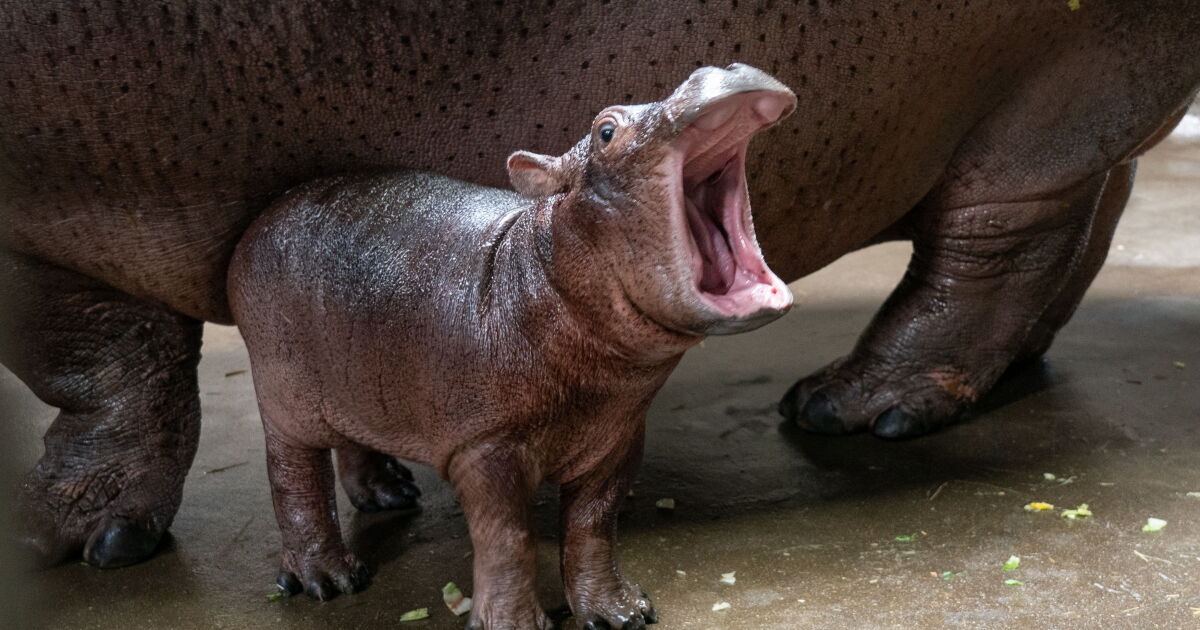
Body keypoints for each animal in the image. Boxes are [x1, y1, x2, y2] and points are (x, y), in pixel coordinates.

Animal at [2, 1, 1198, 570]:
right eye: (610, 125)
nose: (718, 60)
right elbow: (129, 363)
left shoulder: (46, 225)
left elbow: (101, 367)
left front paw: (82, 540)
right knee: (1091, 210)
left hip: (1047, 95)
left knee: (1000, 244)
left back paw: (852, 407)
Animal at [227, 65, 795, 628]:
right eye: (606, 130)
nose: (718, 69)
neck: (541, 267)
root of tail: (265, 215)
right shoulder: (485, 447)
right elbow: (508, 538)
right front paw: (516, 624)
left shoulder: (618, 434)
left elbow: (594, 524)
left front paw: (621, 613)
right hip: (285, 396)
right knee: (294, 476)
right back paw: (331, 580)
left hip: (356, 374)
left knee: (350, 435)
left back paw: (390, 495)